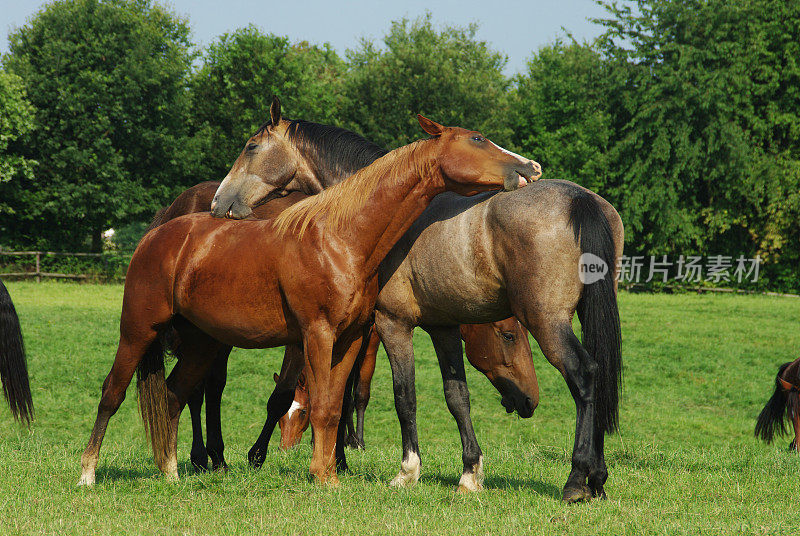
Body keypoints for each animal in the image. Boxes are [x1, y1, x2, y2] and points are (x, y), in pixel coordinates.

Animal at [78, 115, 536, 488]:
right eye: (477, 139)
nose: (530, 168)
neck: (341, 238)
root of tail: (157, 233)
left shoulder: (351, 339)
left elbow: (334, 405)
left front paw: (332, 472)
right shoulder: (321, 334)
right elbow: (324, 404)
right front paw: (321, 473)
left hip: (203, 342)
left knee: (175, 394)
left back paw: (174, 471)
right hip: (138, 331)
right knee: (113, 393)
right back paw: (90, 474)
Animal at [219, 137, 624, 498]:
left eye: (251, 147)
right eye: (509, 336)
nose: (221, 201)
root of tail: (580, 200)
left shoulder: (389, 324)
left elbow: (401, 395)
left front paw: (404, 471)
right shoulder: (441, 327)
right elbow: (456, 397)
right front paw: (469, 474)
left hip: (547, 321)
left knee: (585, 375)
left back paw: (577, 480)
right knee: (599, 375)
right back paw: (598, 479)